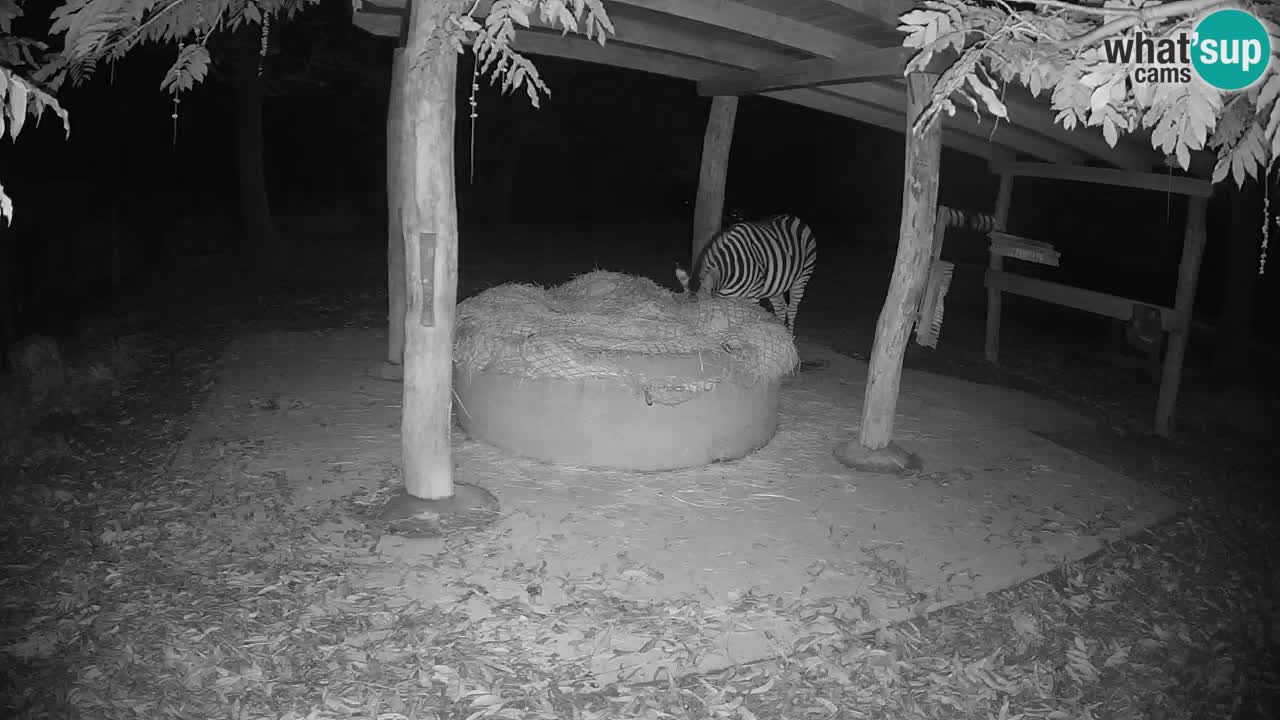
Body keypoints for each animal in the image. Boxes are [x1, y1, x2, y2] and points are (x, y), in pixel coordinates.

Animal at [675, 214, 818, 332]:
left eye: (704, 314)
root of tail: (793, 217)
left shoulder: (753, 295)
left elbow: (747, 318)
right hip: (776, 286)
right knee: (781, 309)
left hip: (802, 277)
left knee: (792, 309)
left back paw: (790, 336)